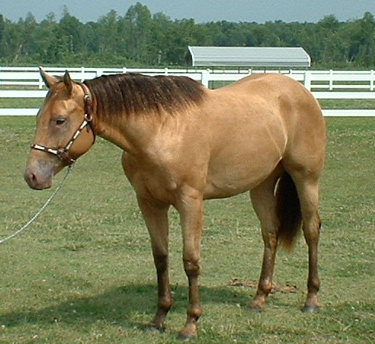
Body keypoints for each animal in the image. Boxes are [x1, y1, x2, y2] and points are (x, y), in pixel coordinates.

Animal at [25, 68, 328, 342]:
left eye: (60, 120)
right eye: (40, 117)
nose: (32, 176)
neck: (161, 131)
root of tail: (300, 91)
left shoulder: (190, 203)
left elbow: (191, 261)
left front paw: (190, 324)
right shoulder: (149, 204)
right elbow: (161, 258)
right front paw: (158, 319)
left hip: (306, 178)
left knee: (312, 230)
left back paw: (311, 300)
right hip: (262, 185)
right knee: (270, 234)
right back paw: (259, 299)